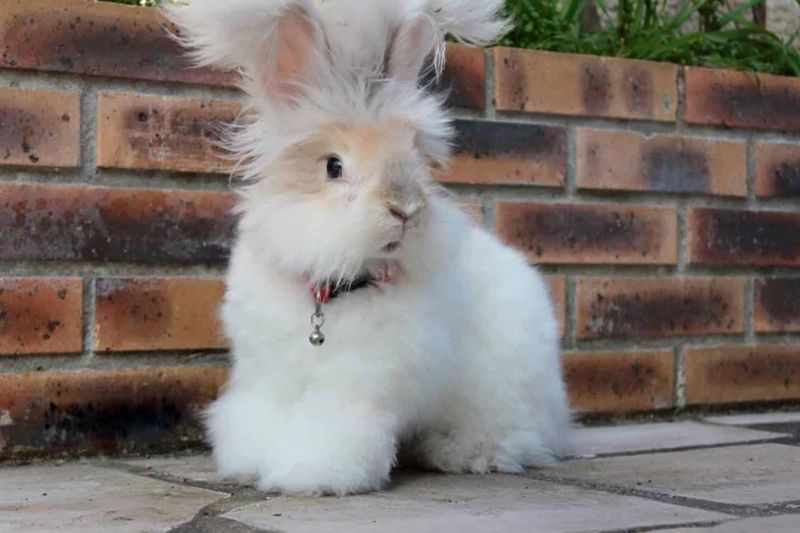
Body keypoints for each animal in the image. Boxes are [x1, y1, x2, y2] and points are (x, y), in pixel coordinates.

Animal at [167, 0, 568, 494]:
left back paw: (463, 454)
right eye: (334, 166)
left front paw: (308, 476)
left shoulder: (355, 389)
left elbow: (333, 432)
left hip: (501, 395)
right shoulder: (266, 378)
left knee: (512, 435)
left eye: (415, 157)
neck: (329, 292)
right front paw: (252, 464)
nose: (405, 209)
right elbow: (260, 420)